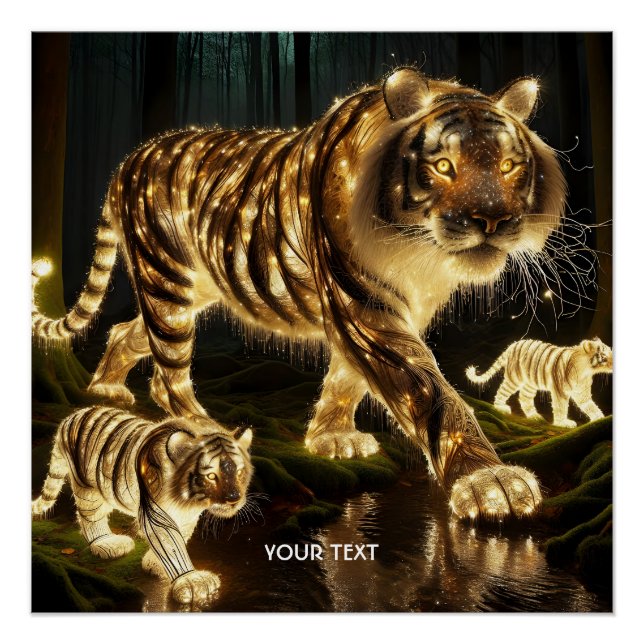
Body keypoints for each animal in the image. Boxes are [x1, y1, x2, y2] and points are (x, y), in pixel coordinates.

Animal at [32, 67, 567, 520]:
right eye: (442, 165)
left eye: (509, 165)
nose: (492, 220)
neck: (421, 256)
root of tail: (130, 157)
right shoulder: (362, 302)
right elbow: (428, 392)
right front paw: (490, 481)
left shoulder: (389, 308)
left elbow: (347, 378)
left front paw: (333, 438)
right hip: (166, 281)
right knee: (168, 376)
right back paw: (205, 429)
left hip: (188, 290)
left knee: (127, 331)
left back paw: (105, 388)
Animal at [32, 406, 253, 606]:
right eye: (211, 476)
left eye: (239, 472)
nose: (234, 498)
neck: (187, 501)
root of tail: (69, 417)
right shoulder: (155, 512)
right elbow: (170, 541)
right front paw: (192, 581)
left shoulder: (186, 516)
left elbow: (177, 538)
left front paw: (156, 563)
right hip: (88, 488)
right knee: (90, 517)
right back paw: (107, 543)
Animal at [465, 337, 613, 428]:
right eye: (604, 357)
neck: (585, 370)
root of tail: (513, 344)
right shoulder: (560, 391)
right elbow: (561, 407)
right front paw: (562, 423)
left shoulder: (582, 393)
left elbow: (590, 405)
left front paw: (600, 418)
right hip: (515, 379)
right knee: (502, 390)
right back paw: (500, 408)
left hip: (530, 384)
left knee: (524, 397)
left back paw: (534, 416)